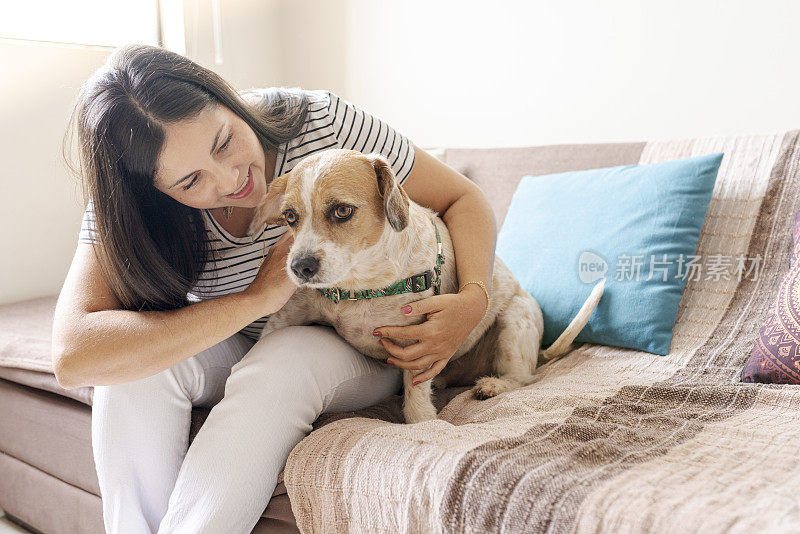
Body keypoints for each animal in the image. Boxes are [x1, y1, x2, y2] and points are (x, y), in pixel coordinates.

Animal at [247, 149, 604, 426]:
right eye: (290, 216)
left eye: (342, 211)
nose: (300, 267)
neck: (357, 287)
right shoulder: (284, 320)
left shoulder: (419, 342)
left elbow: (416, 402)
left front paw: (424, 424)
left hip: (514, 324)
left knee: (523, 378)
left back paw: (492, 386)